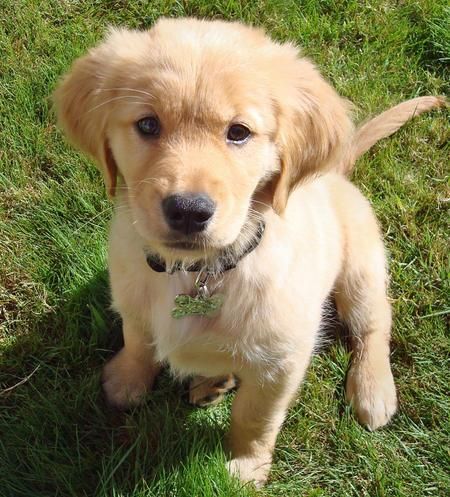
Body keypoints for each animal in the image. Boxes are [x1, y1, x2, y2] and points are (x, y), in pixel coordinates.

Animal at [52, 18, 442, 484]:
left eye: (238, 133)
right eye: (147, 125)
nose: (188, 211)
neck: (199, 271)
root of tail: (337, 171)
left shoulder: (281, 360)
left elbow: (255, 417)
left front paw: (246, 465)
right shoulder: (132, 298)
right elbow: (138, 339)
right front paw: (127, 381)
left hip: (361, 268)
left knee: (374, 325)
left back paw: (373, 388)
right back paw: (211, 382)